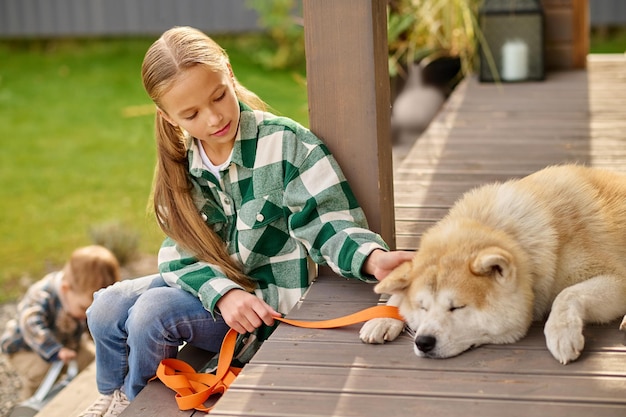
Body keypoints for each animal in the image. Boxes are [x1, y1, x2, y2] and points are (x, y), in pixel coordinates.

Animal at [358, 164, 624, 362]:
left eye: (457, 307)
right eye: (422, 307)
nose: (423, 342)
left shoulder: (616, 277)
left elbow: (567, 294)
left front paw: (561, 332)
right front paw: (384, 317)